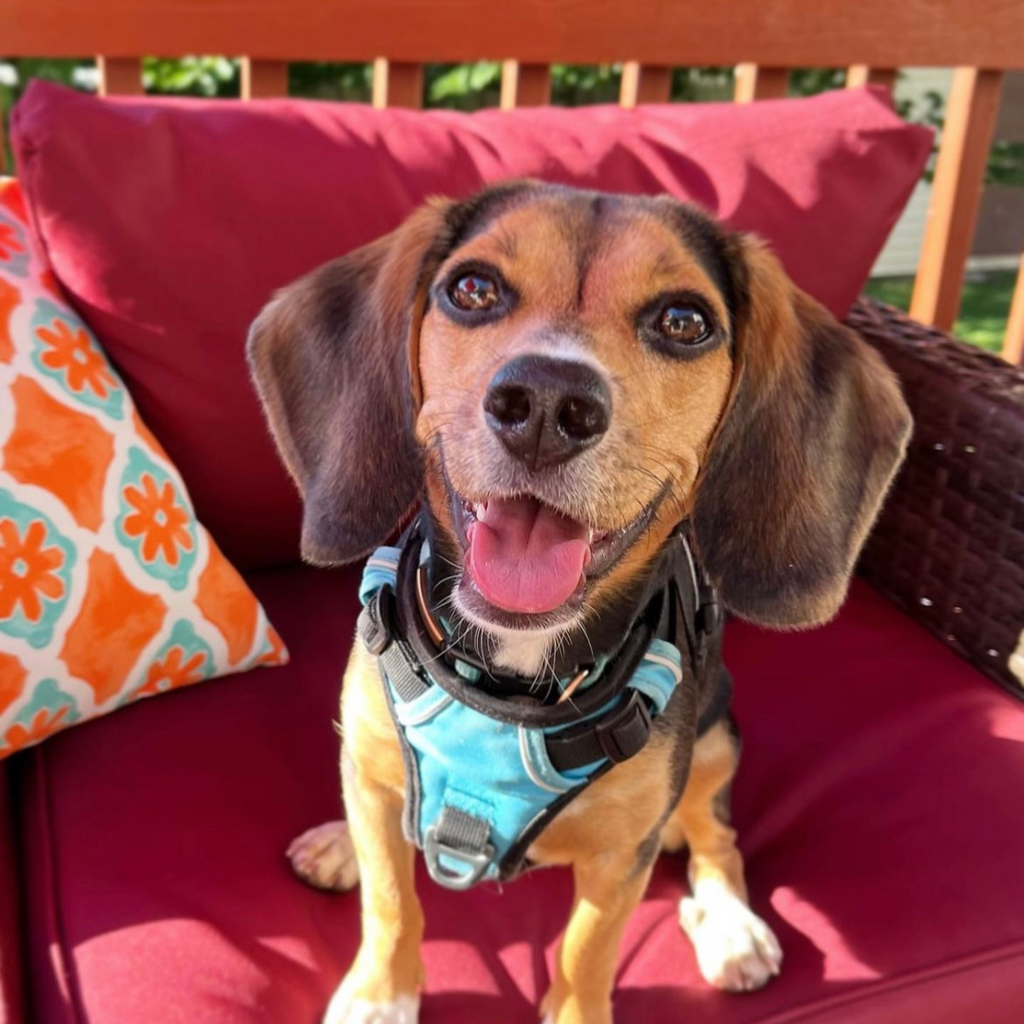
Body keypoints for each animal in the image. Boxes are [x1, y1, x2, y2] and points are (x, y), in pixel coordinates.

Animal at [247, 182, 913, 1024]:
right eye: (472, 290)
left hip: (718, 740)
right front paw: (380, 995)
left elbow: (584, 953)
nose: (545, 403)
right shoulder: (371, 769)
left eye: (684, 321)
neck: (514, 676)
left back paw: (730, 925)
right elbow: (394, 901)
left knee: (717, 837)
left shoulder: (618, 860)